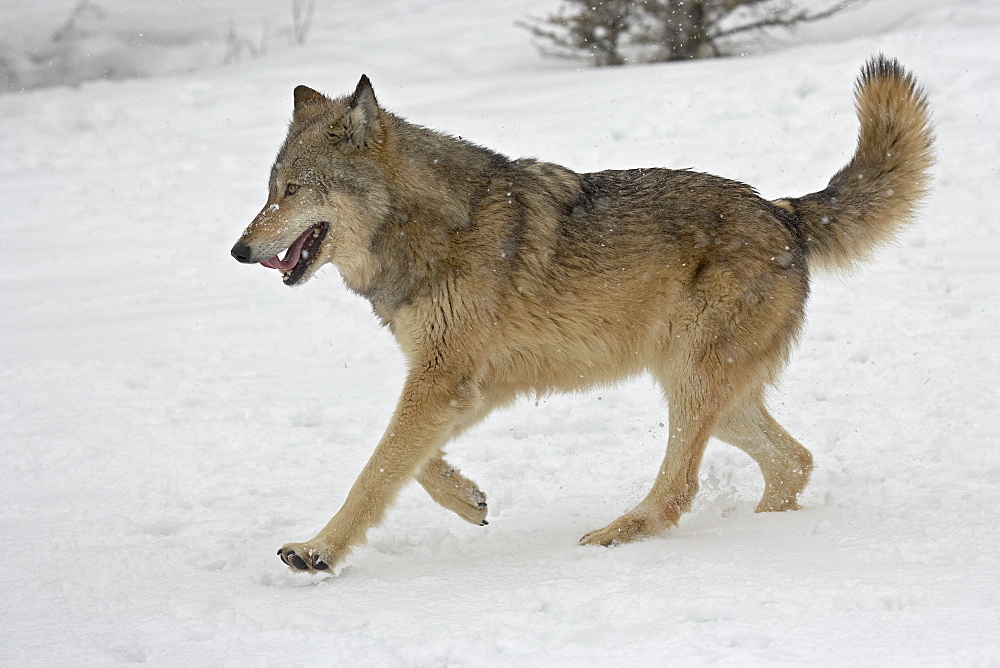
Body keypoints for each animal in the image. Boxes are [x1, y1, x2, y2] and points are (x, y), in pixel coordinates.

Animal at [230, 54, 932, 572]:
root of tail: (784, 212)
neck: (428, 225)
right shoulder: (466, 384)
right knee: (795, 461)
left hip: (692, 383)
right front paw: (469, 500)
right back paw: (761, 532)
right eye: (268, 192)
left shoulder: (442, 380)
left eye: (291, 190)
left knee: (683, 487)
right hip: (712, 394)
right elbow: (410, 462)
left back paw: (618, 534)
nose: (238, 251)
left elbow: (374, 472)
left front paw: (318, 551)